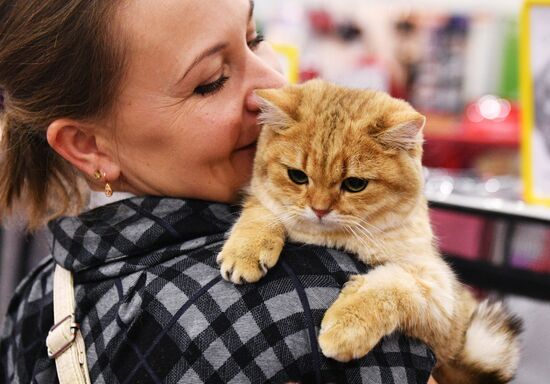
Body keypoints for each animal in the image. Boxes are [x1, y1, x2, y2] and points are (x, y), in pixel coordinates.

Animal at [218, 79, 524, 382]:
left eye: (355, 184)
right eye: (297, 176)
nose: (319, 210)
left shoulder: (440, 296)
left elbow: (390, 287)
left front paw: (346, 328)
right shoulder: (266, 199)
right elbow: (262, 210)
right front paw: (245, 251)